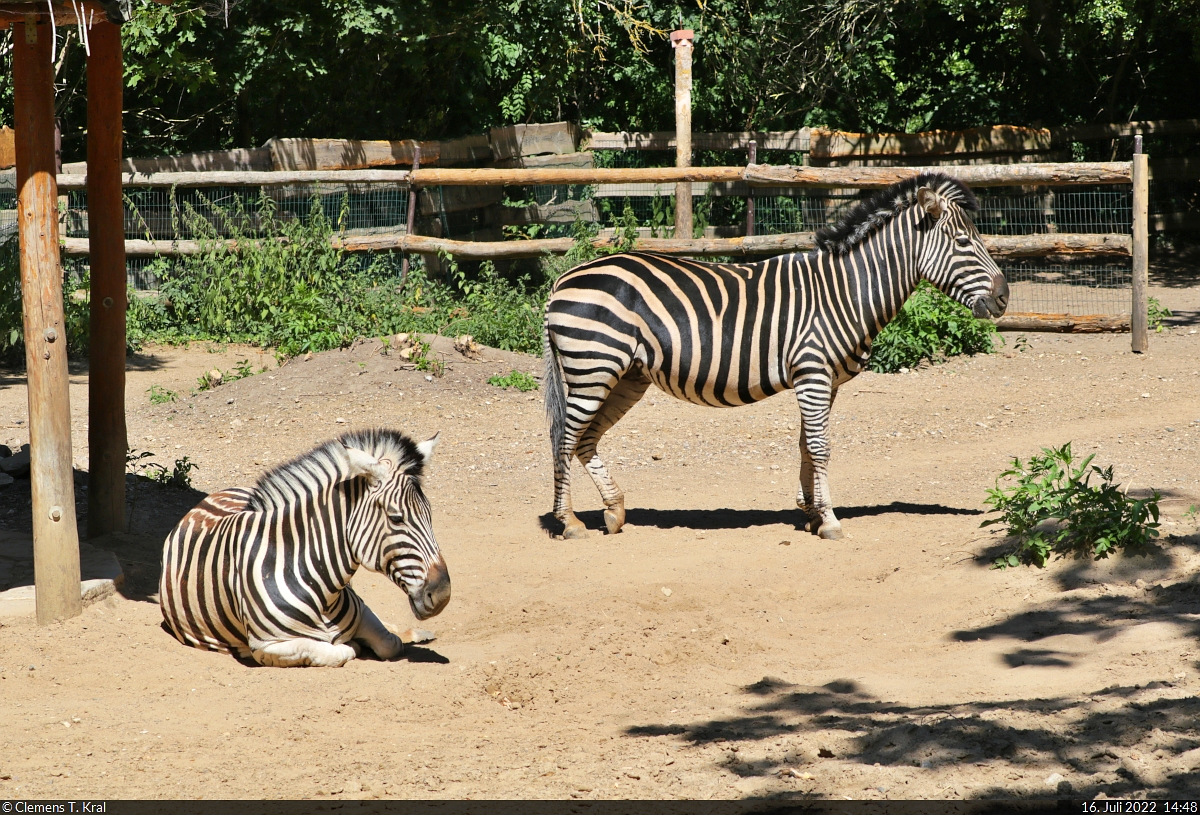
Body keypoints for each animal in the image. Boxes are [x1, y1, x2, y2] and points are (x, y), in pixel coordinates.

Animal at [159, 429, 451, 667]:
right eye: (396, 518)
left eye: (430, 514)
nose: (443, 595)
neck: (323, 590)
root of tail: (208, 499)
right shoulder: (270, 647)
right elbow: (341, 651)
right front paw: (353, 644)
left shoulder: (361, 611)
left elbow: (389, 642)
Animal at [549, 170, 1008, 542]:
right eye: (964, 242)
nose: (1005, 298)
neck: (845, 291)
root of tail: (563, 278)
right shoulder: (813, 373)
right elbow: (821, 447)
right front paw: (831, 521)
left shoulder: (824, 380)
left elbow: (807, 445)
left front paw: (812, 513)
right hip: (593, 366)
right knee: (565, 438)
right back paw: (569, 523)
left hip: (626, 376)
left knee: (586, 439)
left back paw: (613, 511)